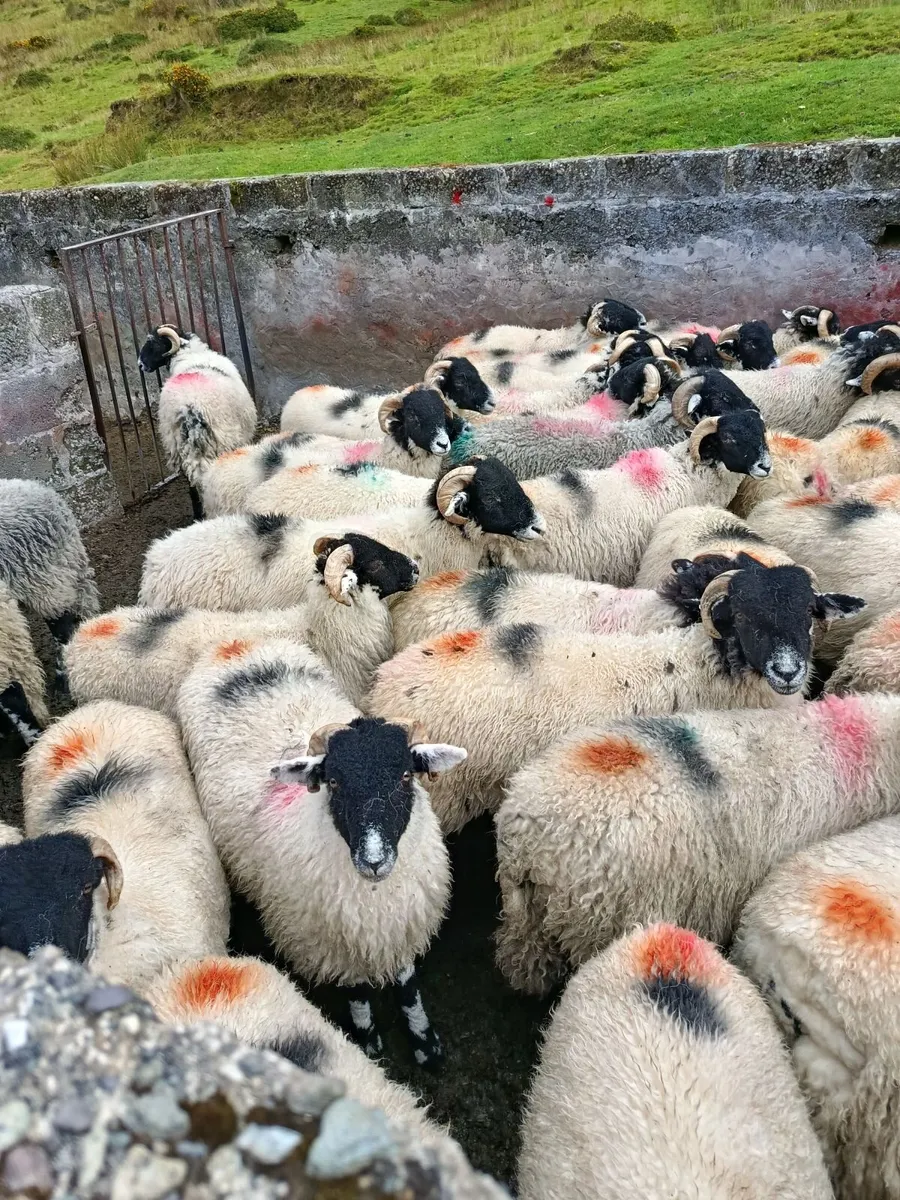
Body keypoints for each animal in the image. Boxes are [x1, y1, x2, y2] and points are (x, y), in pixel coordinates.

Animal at [139, 325, 256, 520]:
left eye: (153, 343)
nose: (140, 364)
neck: (190, 354)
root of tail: (190, 411)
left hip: (180, 446)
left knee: (192, 485)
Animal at [177, 638, 467, 1064]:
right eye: (333, 781)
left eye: (405, 775)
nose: (374, 860)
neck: (377, 897)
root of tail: (239, 644)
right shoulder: (331, 941)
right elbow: (357, 992)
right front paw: (368, 1040)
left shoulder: (403, 922)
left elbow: (407, 985)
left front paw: (424, 1042)